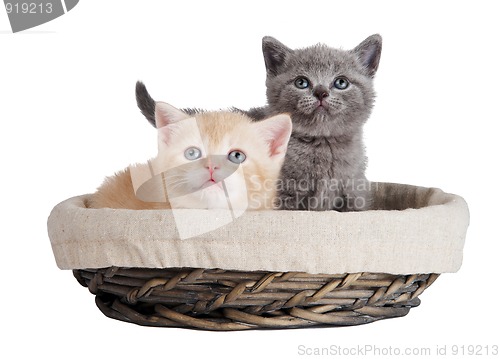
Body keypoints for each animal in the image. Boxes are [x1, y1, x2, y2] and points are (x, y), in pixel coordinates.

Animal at [135, 34, 380, 211]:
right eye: (302, 82)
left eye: (341, 82)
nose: (321, 92)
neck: (322, 143)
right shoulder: (285, 196)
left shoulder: (354, 192)